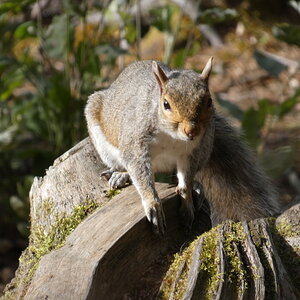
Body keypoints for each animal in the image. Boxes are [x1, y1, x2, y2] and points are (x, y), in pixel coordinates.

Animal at [85, 58, 282, 234]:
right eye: (166, 104)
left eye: (209, 102)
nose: (191, 131)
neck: (172, 137)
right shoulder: (136, 142)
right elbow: (139, 171)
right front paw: (152, 203)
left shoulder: (193, 153)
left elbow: (185, 179)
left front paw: (187, 200)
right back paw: (121, 174)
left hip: (205, 150)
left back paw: (196, 186)